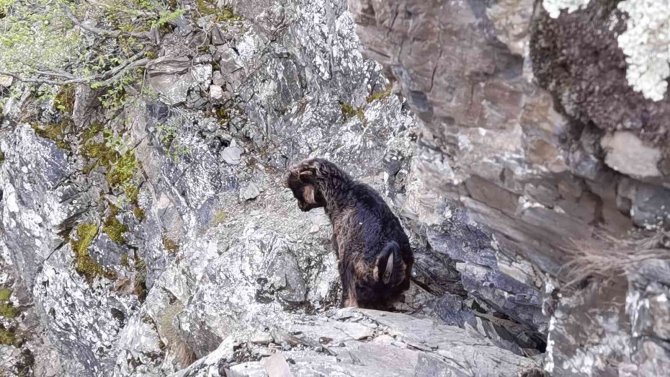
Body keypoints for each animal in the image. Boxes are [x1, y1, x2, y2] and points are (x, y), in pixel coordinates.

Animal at [284, 157, 412, 306]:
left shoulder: (339, 248)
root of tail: (386, 271)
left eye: (297, 188)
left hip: (352, 273)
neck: (344, 194)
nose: (300, 206)